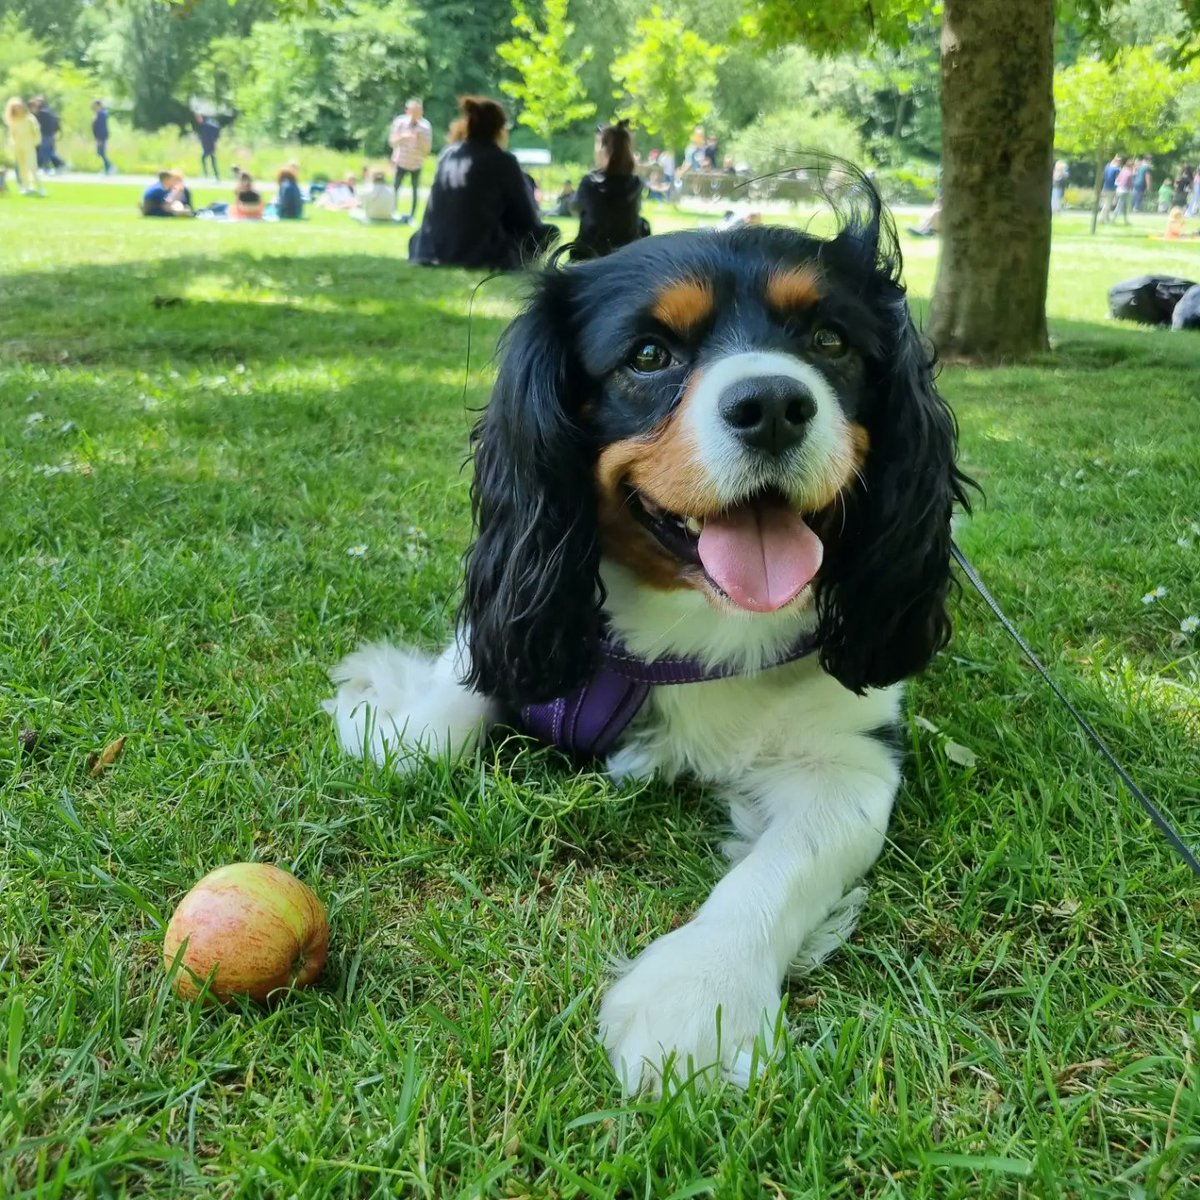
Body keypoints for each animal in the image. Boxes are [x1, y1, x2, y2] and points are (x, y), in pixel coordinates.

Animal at [328, 184, 974, 1099]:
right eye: (647, 354)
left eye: (829, 341)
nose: (773, 404)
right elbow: (430, 729)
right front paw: (389, 712)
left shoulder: (853, 760)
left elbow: (784, 864)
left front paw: (698, 997)